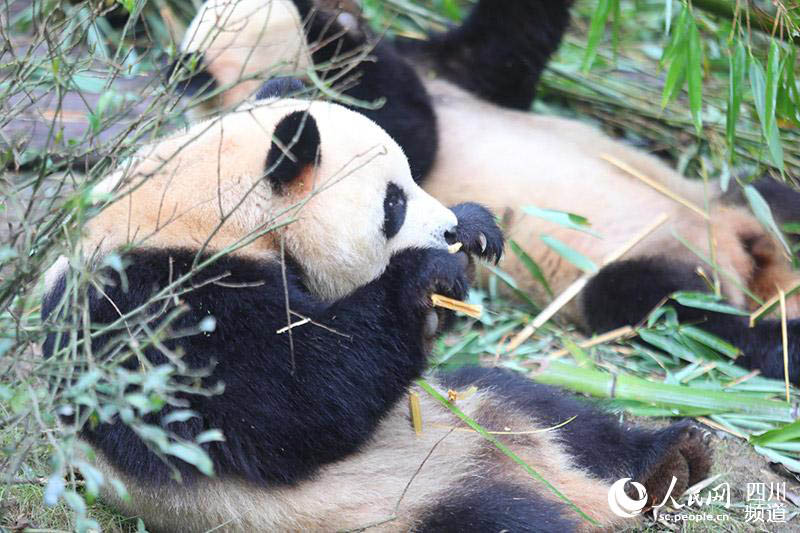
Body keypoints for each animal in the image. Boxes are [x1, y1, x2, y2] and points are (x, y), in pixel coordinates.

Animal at [42, 88, 711, 532]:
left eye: (414, 179)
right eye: (392, 203)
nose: (447, 232)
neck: (197, 209)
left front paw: (476, 228)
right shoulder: (143, 307)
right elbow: (288, 402)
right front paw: (426, 278)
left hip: (479, 408)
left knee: (553, 410)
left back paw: (669, 459)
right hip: (394, 509)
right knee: (502, 518)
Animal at [170, 0, 800, 381]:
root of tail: (744, 256)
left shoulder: (451, 66)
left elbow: (506, 48)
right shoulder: (330, 137)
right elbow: (407, 131)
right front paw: (334, 25)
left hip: (738, 199)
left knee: (773, 197)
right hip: (645, 270)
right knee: (675, 311)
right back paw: (780, 337)